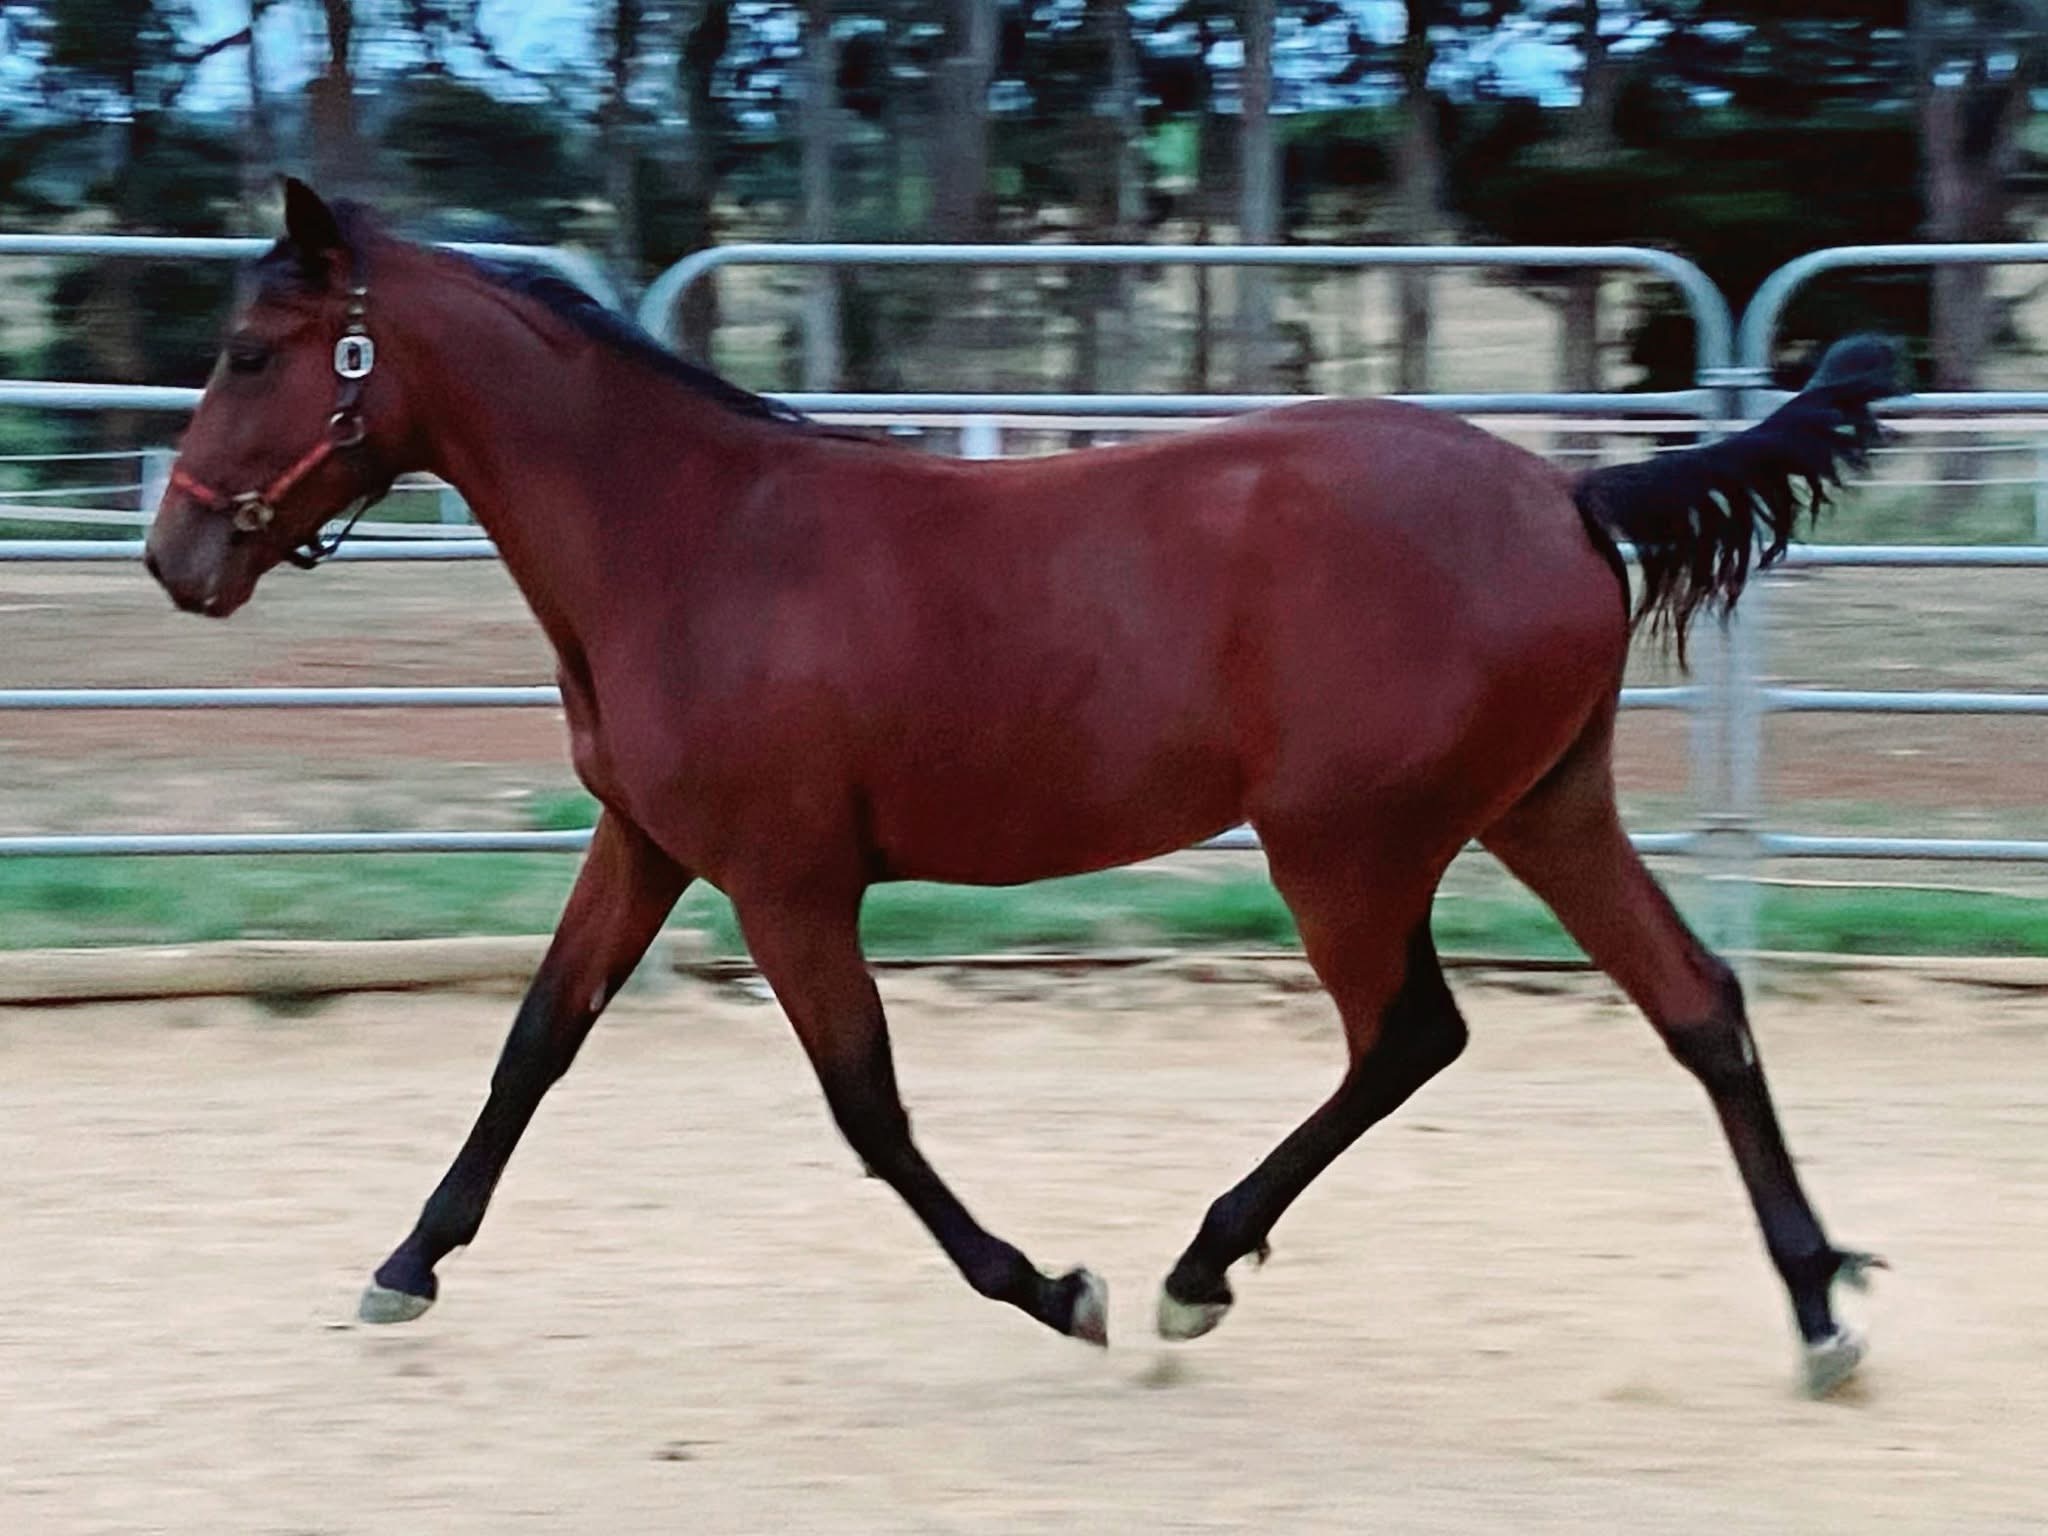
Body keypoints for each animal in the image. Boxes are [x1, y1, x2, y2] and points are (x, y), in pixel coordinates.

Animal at [146, 180, 1897, 1396]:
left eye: (249, 352)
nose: (173, 558)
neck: (691, 542)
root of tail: (1570, 498)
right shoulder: (646, 846)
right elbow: (534, 1046)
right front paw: (402, 1269)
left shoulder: (787, 880)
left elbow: (867, 1107)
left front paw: (1061, 1292)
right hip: (1543, 810)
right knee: (1699, 1005)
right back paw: (1820, 1309)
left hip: (1347, 846)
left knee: (1413, 1036)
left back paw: (1197, 1270)